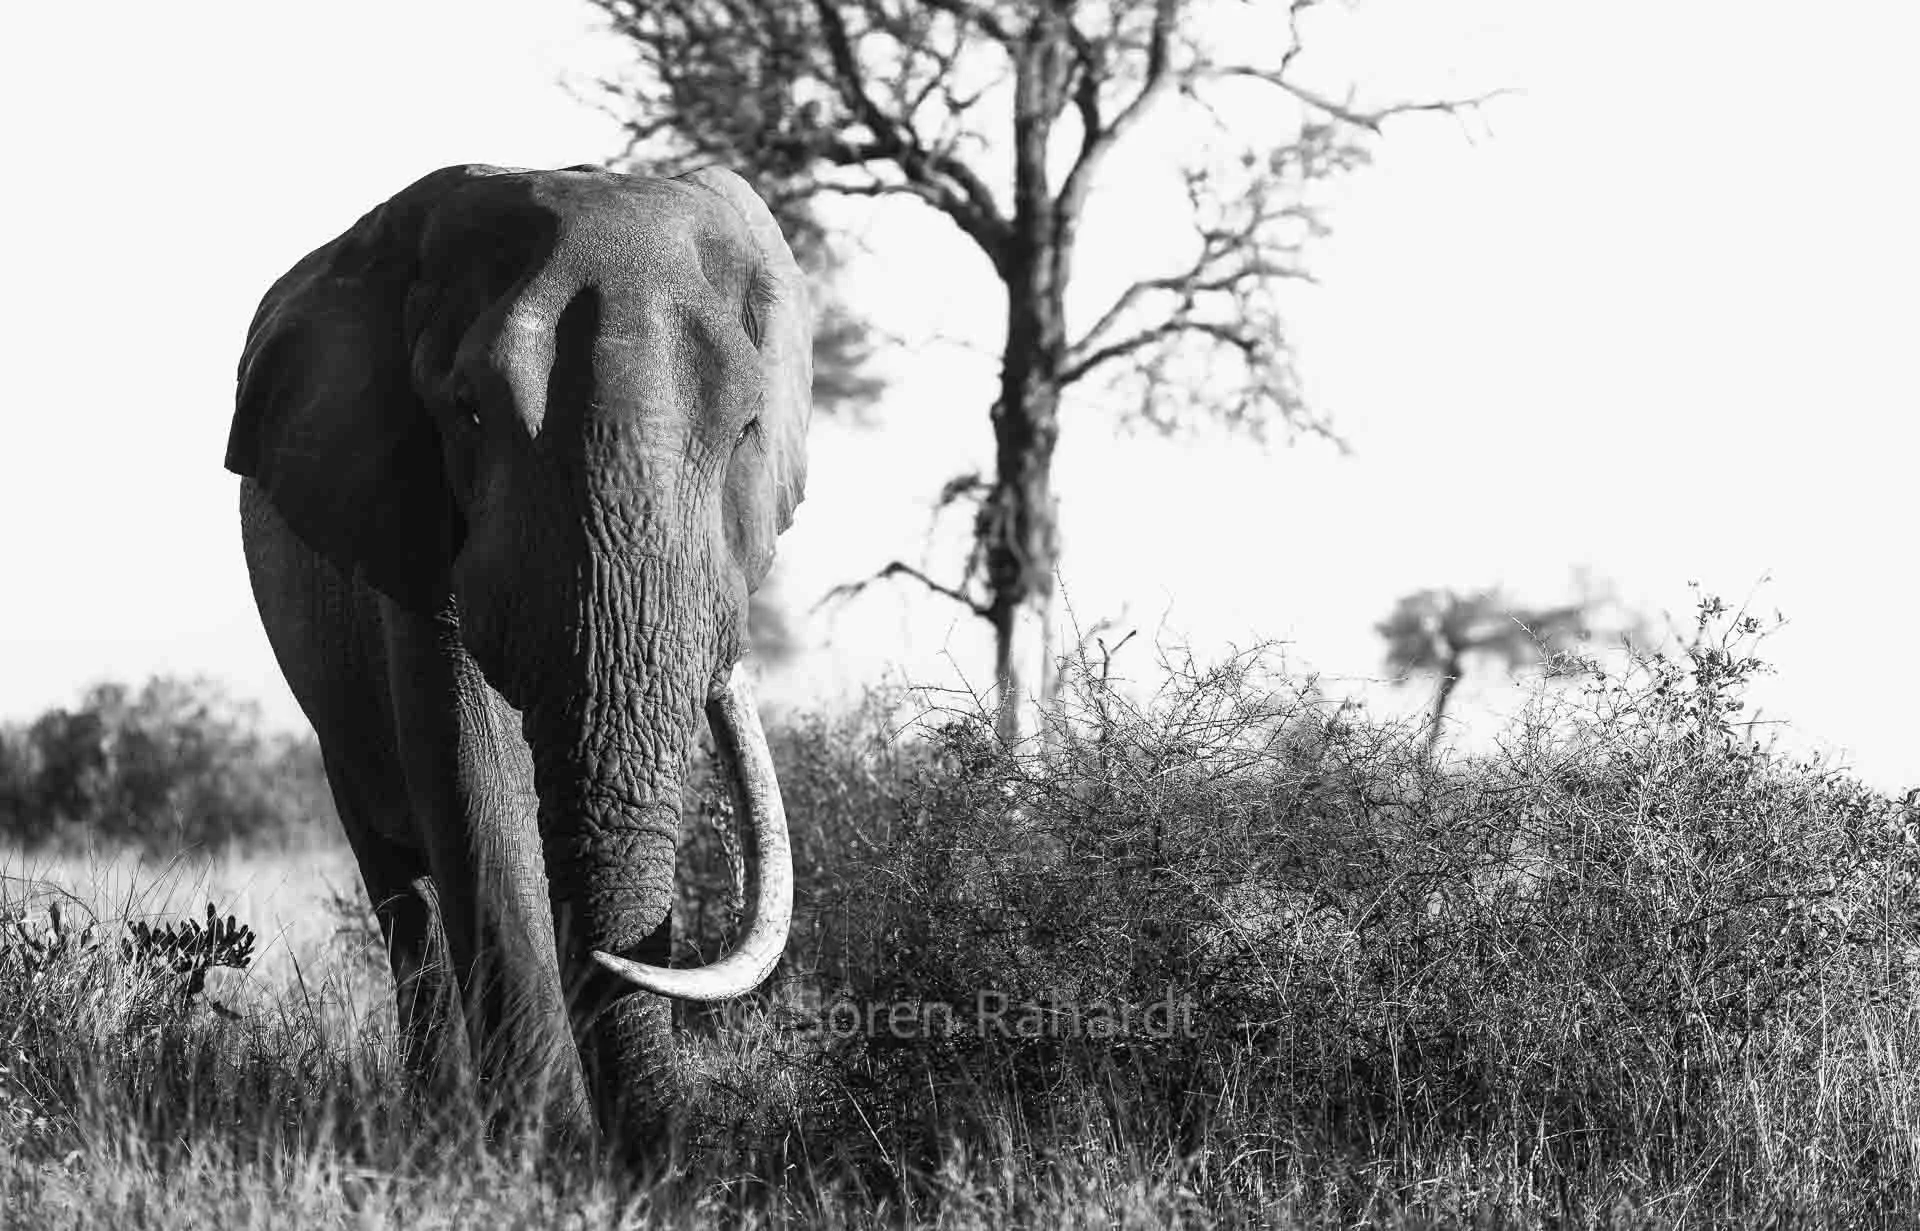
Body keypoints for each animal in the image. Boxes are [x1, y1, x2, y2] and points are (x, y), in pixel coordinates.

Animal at [226, 163, 810, 1158]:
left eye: (747, 428)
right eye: (468, 413)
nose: (657, 1166)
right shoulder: (409, 521)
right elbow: (475, 780)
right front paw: (543, 1151)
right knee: (403, 896)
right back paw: (435, 1120)